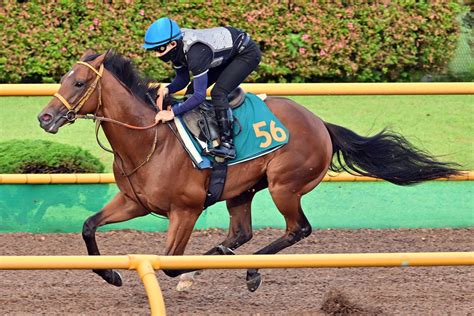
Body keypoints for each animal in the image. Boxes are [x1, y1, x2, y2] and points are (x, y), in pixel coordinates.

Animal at [38, 50, 462, 292]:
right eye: (62, 79)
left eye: (78, 82)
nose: (45, 117)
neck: (148, 141)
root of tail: (320, 123)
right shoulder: (133, 201)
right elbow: (89, 226)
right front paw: (111, 274)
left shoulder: (186, 210)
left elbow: (171, 263)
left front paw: (184, 274)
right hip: (242, 190)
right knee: (241, 233)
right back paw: (221, 259)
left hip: (284, 185)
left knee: (297, 230)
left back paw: (250, 270)